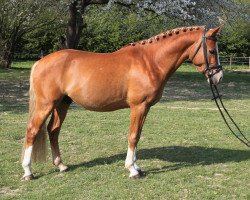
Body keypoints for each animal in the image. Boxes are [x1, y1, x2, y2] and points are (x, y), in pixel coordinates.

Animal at [22, 25, 224, 180]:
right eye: (211, 51)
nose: (218, 77)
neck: (150, 61)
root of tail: (40, 62)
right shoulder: (138, 106)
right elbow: (133, 136)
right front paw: (132, 170)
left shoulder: (145, 108)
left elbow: (138, 135)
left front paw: (137, 166)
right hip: (46, 105)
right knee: (32, 131)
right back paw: (28, 172)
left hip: (62, 104)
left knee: (53, 131)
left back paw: (61, 165)